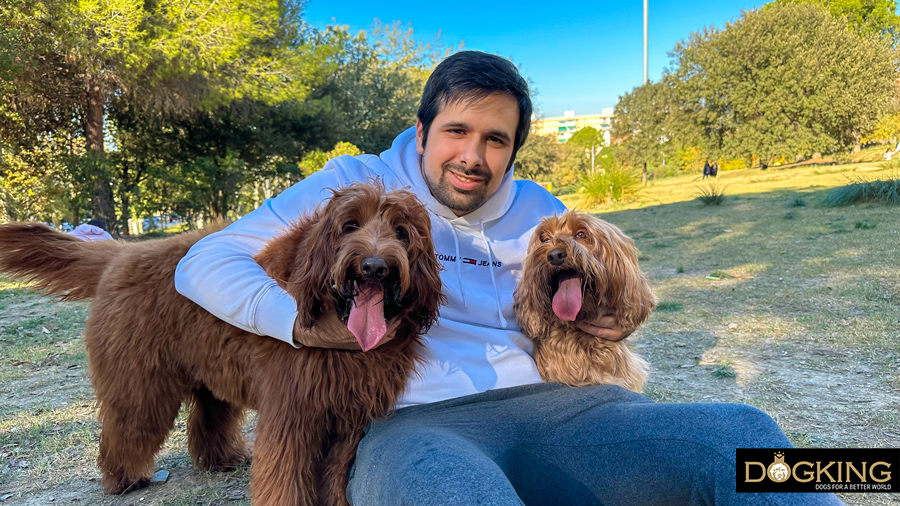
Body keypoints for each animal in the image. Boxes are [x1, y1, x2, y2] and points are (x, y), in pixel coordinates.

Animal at [0, 183, 444, 506]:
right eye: (349, 226)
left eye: (401, 232)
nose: (375, 266)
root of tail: (120, 254)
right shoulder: (294, 411)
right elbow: (285, 477)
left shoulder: (349, 416)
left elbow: (334, 477)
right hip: (140, 381)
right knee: (128, 424)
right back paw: (124, 478)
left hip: (210, 371)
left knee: (209, 417)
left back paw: (222, 458)